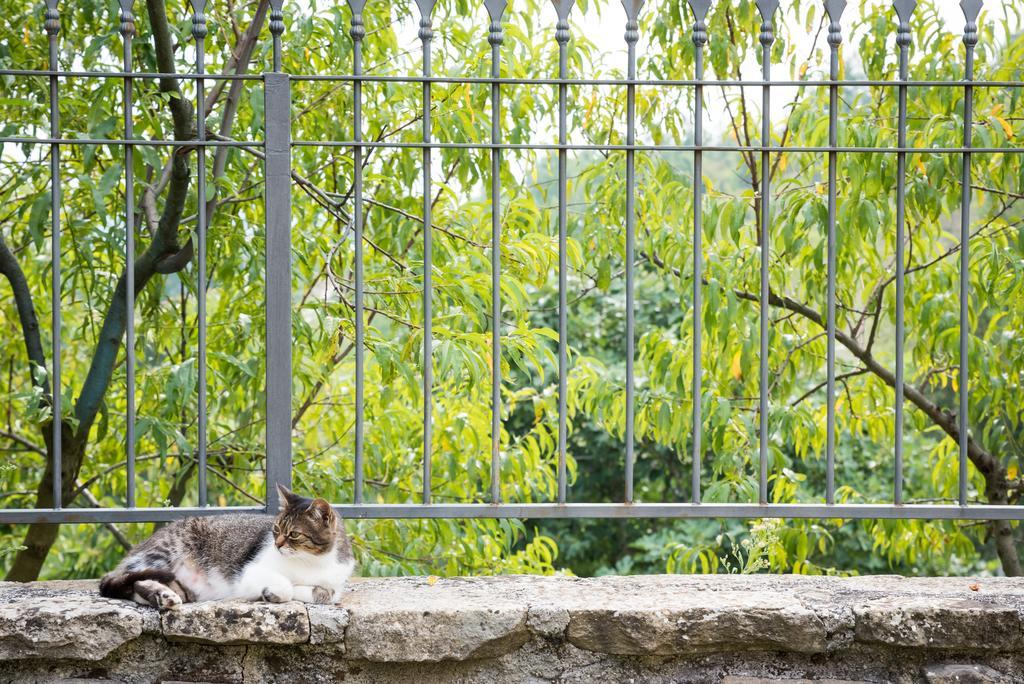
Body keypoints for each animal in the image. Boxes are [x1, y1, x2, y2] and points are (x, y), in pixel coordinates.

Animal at [98, 485, 356, 610]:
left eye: (293, 534)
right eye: (275, 529)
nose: (277, 544)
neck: (310, 561)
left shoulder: (334, 585)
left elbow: (324, 594)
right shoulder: (250, 571)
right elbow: (285, 585)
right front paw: (273, 592)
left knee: (132, 587)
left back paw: (164, 596)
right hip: (163, 553)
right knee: (130, 579)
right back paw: (163, 595)